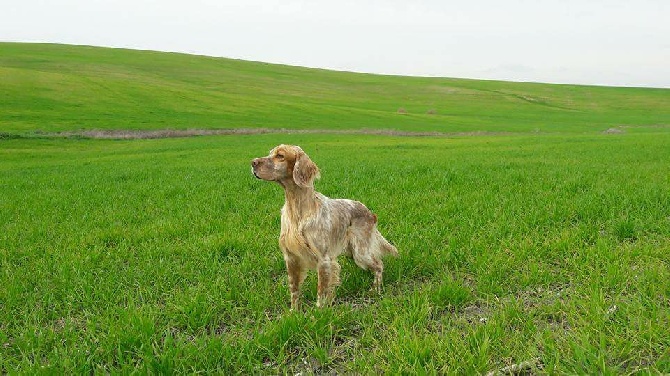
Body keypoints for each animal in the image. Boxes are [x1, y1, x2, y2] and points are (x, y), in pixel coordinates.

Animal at [252, 144, 400, 308]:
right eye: (270, 153)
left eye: (280, 156)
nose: (253, 162)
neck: (297, 209)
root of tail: (369, 212)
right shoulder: (291, 258)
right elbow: (294, 290)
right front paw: (294, 311)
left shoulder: (323, 259)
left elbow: (321, 292)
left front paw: (318, 311)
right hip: (352, 252)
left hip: (361, 251)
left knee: (379, 265)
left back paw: (375, 289)